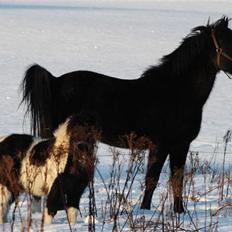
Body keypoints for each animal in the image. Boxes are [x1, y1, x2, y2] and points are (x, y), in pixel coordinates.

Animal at [19, 17, 232, 214]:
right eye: (227, 41)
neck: (176, 93)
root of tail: (55, 81)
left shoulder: (181, 146)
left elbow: (177, 180)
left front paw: (179, 212)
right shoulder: (160, 146)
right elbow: (152, 180)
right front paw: (145, 210)